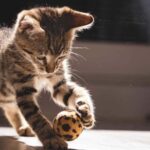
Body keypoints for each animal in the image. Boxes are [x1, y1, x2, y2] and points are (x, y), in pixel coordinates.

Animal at [0, 6, 95, 149]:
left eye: (61, 57)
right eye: (41, 57)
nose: (50, 71)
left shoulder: (60, 84)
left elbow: (77, 94)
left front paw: (86, 111)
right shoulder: (24, 90)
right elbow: (37, 118)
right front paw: (52, 139)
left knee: (10, 105)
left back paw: (22, 127)